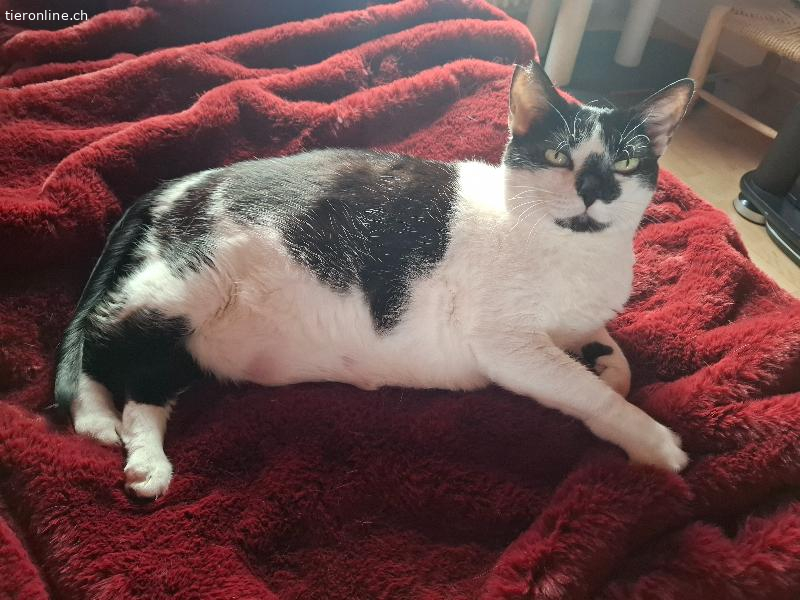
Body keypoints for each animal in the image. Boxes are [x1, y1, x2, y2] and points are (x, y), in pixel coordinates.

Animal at [55, 61, 694, 499]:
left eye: (627, 162)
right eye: (561, 156)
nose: (593, 189)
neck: (578, 257)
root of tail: (177, 185)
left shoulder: (575, 323)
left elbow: (615, 360)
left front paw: (606, 364)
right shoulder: (507, 345)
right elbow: (587, 391)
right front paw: (652, 438)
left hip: (187, 334)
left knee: (142, 370)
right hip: (182, 286)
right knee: (102, 344)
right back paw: (128, 446)